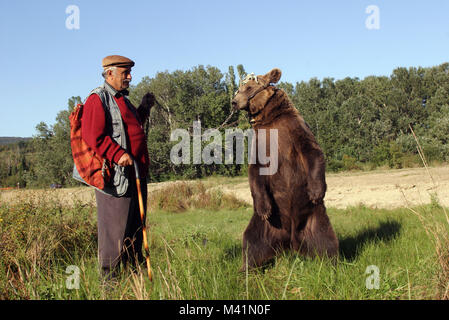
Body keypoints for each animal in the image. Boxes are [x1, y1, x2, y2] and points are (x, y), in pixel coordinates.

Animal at [233, 68, 338, 270]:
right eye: (239, 87)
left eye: (248, 87)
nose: (234, 101)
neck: (270, 119)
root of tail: (291, 239)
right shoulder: (259, 141)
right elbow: (255, 170)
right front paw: (264, 208)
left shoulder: (294, 128)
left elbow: (313, 151)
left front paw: (316, 191)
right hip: (267, 224)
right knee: (252, 241)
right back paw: (246, 268)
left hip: (315, 216)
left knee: (326, 240)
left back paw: (332, 265)